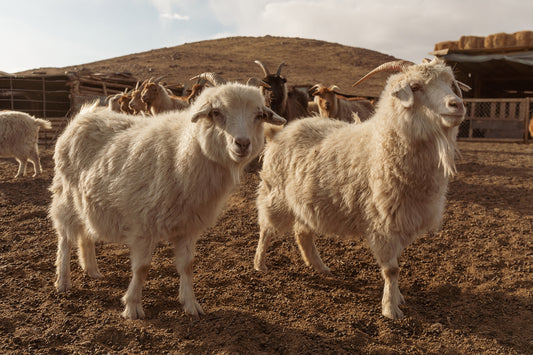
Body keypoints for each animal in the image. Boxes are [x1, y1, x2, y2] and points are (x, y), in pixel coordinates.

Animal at [50, 82, 286, 320]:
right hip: (65, 197)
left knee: (85, 233)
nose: (243, 144)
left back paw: (92, 270)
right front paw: (132, 307)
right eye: (216, 113)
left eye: (258, 116)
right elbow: (142, 268)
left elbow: (187, 265)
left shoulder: (188, 226)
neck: (183, 151)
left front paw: (191, 304)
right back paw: (63, 281)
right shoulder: (144, 224)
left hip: (86, 201)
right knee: (65, 239)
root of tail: (84, 115)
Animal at [252, 58, 466, 320]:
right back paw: (260, 264)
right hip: (275, 194)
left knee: (302, 233)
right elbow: (392, 269)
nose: (457, 105)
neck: (380, 144)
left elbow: (396, 263)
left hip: (306, 200)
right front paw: (390, 308)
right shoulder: (382, 222)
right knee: (266, 229)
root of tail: (278, 133)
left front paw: (397, 297)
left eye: (449, 83)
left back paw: (320, 267)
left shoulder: (402, 219)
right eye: (415, 87)